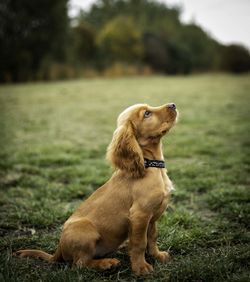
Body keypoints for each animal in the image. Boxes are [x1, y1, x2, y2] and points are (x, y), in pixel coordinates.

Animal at [16, 102, 178, 274]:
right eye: (146, 114)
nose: (173, 105)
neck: (151, 165)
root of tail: (58, 249)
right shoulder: (140, 214)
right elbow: (139, 243)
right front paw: (141, 267)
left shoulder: (152, 216)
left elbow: (152, 238)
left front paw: (157, 255)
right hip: (85, 230)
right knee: (79, 264)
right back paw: (106, 263)